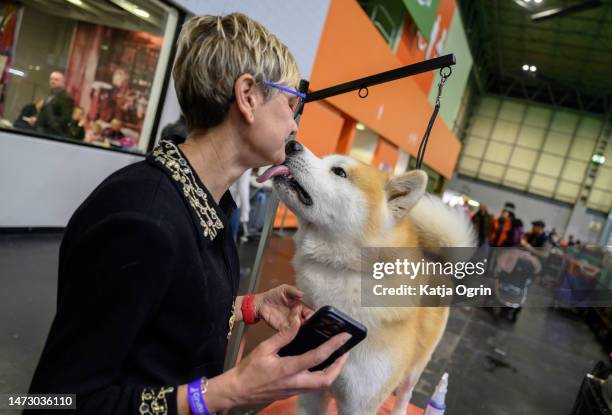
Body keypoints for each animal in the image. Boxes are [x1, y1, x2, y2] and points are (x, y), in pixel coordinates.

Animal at [256, 141, 474, 414]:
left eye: (339, 172)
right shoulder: (311, 389)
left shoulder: (360, 402)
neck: (344, 271)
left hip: (415, 367)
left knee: (405, 394)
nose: (291, 144)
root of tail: (438, 263)